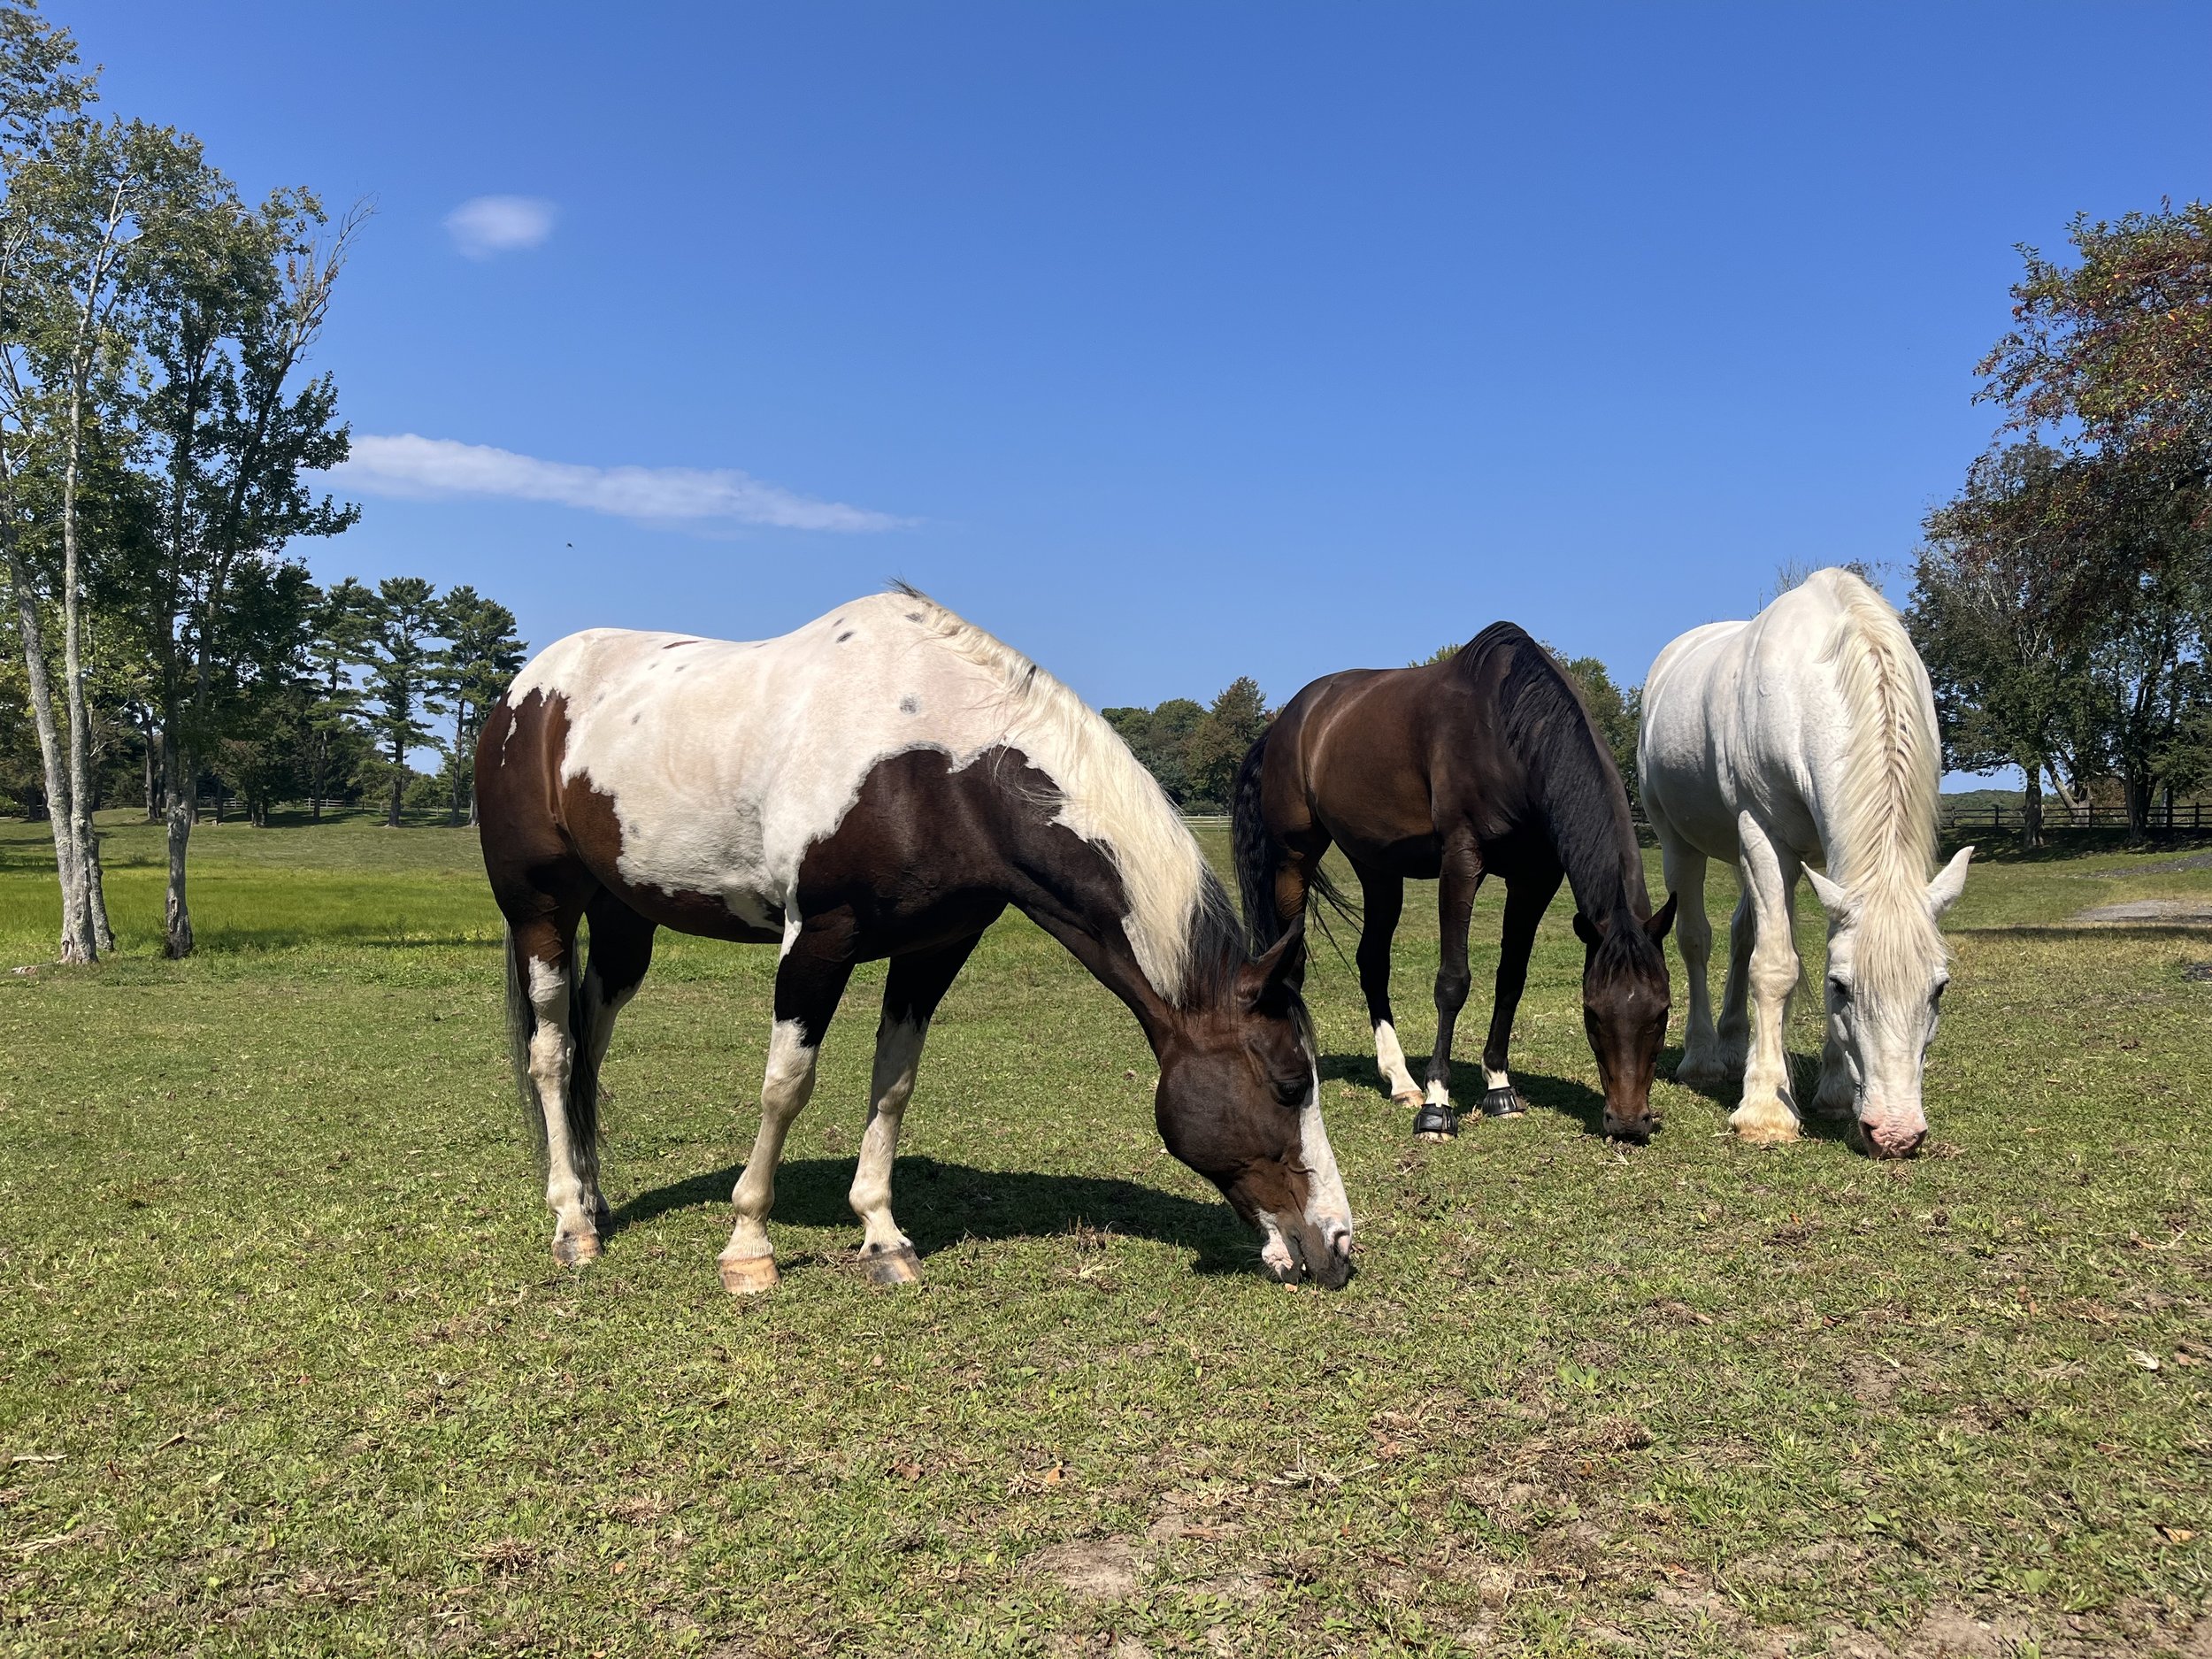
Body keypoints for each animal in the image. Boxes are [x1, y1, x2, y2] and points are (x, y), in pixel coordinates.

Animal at [474, 588, 1354, 1292]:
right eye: (1287, 1084)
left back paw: (594, 1199)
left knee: (589, 1047)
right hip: (541, 913)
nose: (1339, 1247)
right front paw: (749, 1246)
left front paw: (883, 1237)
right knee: (553, 1053)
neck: (940, 765)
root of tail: (525, 690)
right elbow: (785, 1086)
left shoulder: (933, 949)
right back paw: (571, 1223)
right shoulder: (816, 940)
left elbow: (893, 1084)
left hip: (627, 922)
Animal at [1233, 623, 1675, 1143]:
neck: (1507, 735)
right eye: (1592, 1013)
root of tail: (1286, 720)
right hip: (1294, 860)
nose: (1628, 1123)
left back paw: (1401, 1081)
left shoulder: (1535, 879)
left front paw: (1499, 1088)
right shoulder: (1461, 863)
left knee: (1372, 962)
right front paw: (1437, 1106)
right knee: (1295, 960)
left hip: (1378, 868)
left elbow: (1511, 978)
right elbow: (1452, 982)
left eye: (1663, 1011)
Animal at [1637, 568, 1973, 1158]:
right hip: (1680, 843)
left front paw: (1834, 1092)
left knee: (1740, 933)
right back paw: (1702, 1058)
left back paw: (1733, 1047)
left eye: (1939, 988)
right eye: (1842, 988)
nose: (1895, 1134)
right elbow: (1775, 967)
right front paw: (1765, 1111)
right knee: (1697, 940)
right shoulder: (1763, 838)